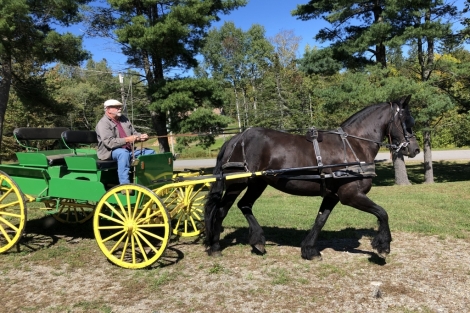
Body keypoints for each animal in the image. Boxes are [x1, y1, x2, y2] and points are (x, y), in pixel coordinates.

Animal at [204, 94, 420, 258]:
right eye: (406, 122)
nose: (415, 149)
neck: (353, 145)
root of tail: (235, 139)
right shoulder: (350, 195)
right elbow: (382, 213)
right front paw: (383, 246)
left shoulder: (332, 196)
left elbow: (320, 219)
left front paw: (309, 249)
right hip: (236, 183)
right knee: (221, 210)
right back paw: (215, 247)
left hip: (258, 183)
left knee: (244, 205)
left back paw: (257, 240)